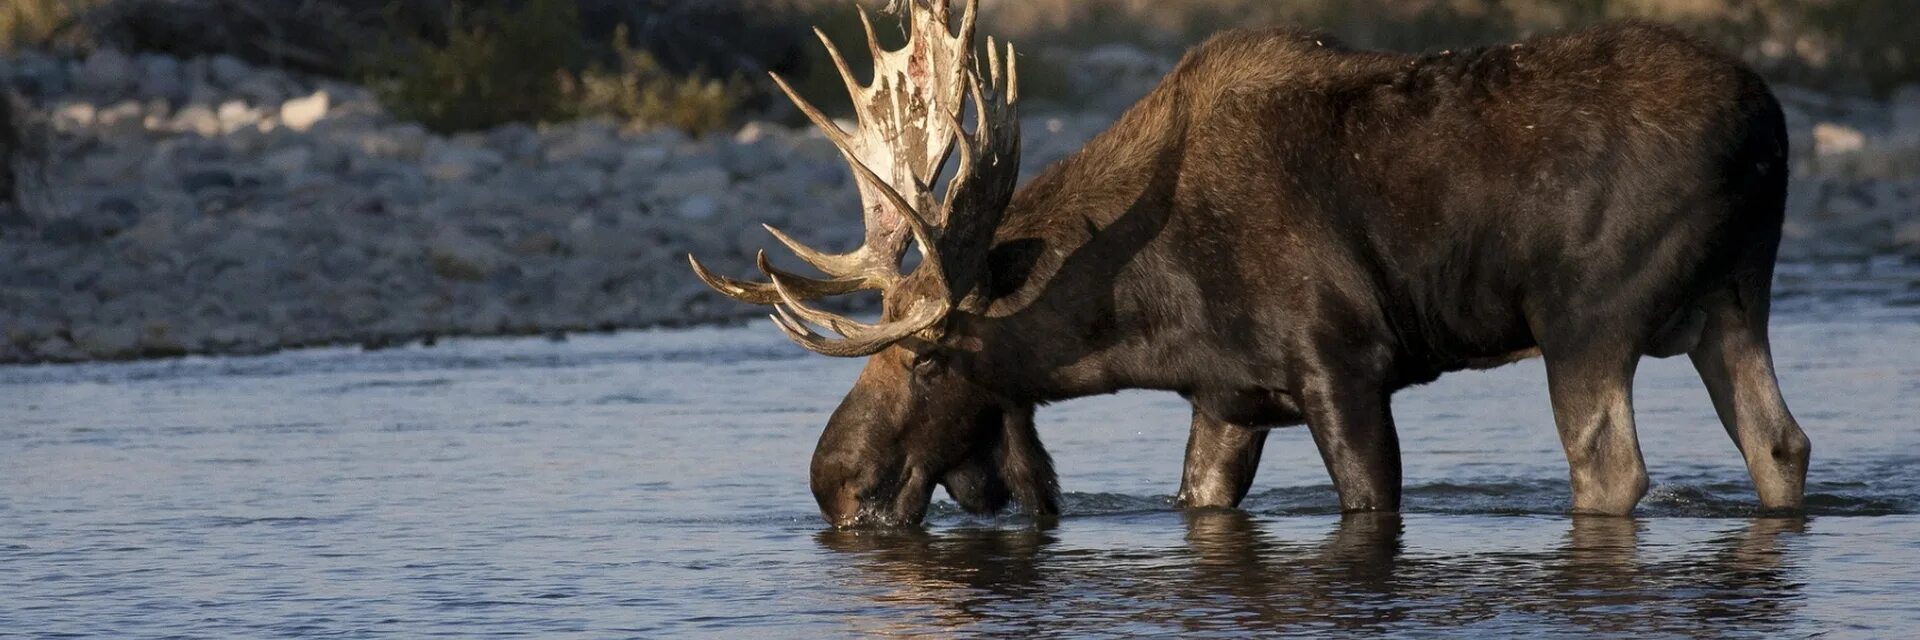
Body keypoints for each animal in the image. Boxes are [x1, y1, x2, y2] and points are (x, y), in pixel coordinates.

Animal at [695, 0, 1812, 526]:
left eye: (925, 358)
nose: (831, 483)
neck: (1135, 320)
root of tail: (1770, 128)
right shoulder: (1229, 399)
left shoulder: (1344, 365)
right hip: (1734, 300)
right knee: (1780, 445)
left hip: (1588, 319)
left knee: (1610, 469)